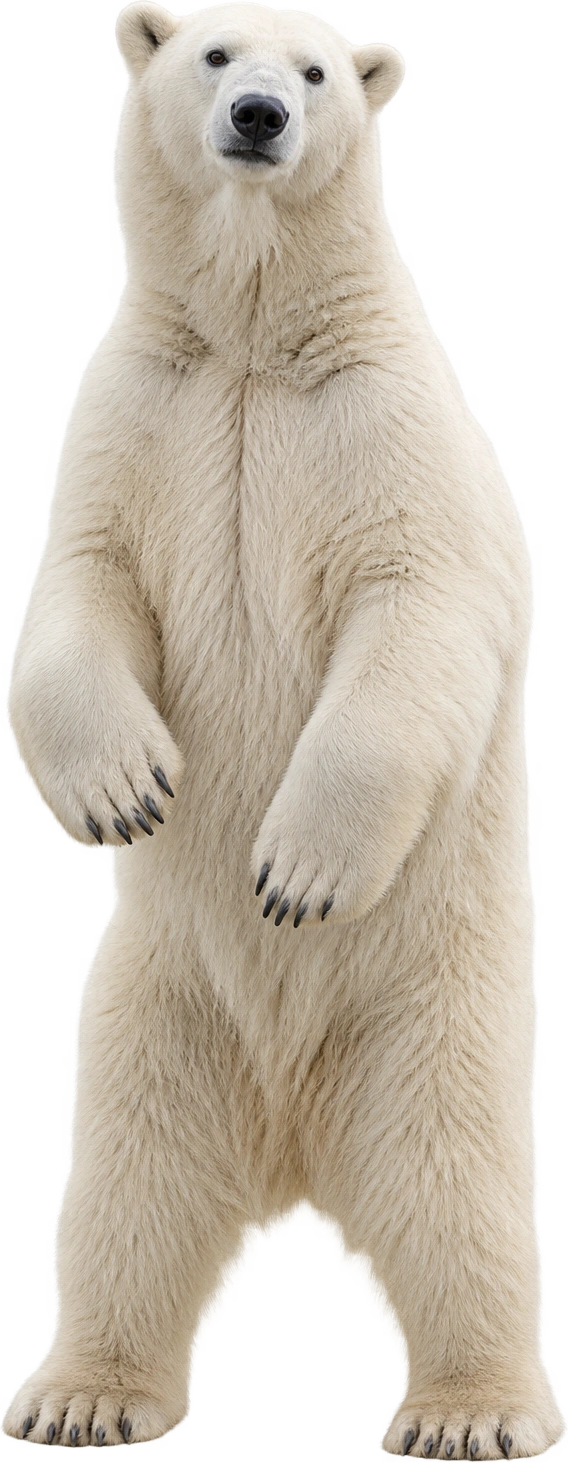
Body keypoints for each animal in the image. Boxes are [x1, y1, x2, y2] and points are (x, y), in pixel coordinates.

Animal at [4, 0, 565, 1453]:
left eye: (316, 70)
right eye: (213, 52)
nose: (259, 116)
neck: (257, 344)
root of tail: (294, 1143)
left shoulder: (388, 427)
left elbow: (421, 605)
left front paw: (295, 867)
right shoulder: (139, 412)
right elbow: (79, 588)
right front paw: (129, 786)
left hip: (431, 1009)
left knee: (456, 1192)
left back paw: (470, 1404)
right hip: (151, 1009)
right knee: (125, 1188)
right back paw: (82, 1386)